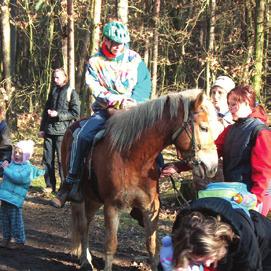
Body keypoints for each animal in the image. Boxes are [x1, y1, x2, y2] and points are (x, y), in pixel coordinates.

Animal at [60, 90, 220, 271]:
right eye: (204, 127)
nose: (212, 166)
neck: (133, 158)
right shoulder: (112, 206)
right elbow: (110, 245)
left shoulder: (151, 207)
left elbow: (152, 245)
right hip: (80, 197)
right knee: (82, 225)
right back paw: (85, 260)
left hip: (94, 198)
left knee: (87, 222)